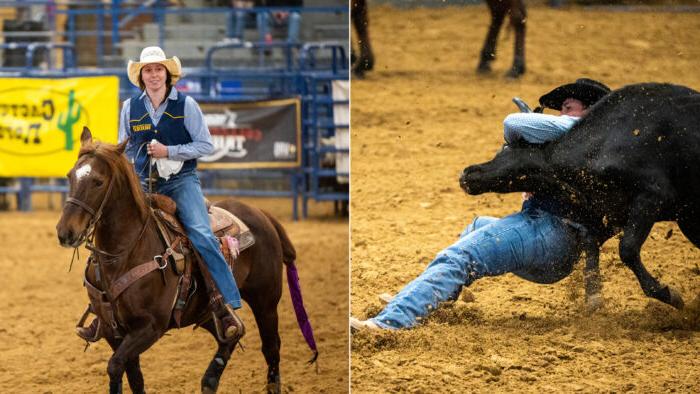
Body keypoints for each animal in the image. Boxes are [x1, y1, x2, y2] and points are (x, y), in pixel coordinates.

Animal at [57, 127, 318, 392]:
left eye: (98, 182)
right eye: (69, 176)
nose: (65, 232)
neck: (123, 255)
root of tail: (261, 213)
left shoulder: (149, 327)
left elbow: (115, 365)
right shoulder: (112, 329)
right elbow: (132, 375)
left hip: (266, 300)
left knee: (271, 347)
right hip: (206, 311)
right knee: (231, 335)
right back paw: (209, 380)